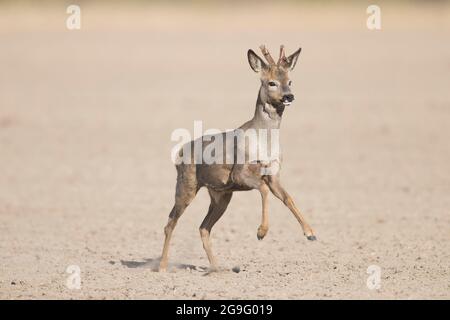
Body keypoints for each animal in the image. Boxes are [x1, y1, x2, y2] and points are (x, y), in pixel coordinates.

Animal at [160, 43, 314, 272]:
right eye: (271, 82)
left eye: (290, 81)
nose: (289, 96)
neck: (264, 140)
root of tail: (179, 152)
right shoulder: (240, 173)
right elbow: (264, 190)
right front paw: (261, 232)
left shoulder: (273, 174)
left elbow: (288, 197)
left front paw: (310, 233)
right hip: (186, 184)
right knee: (170, 222)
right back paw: (161, 266)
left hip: (221, 195)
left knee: (203, 227)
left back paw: (217, 268)